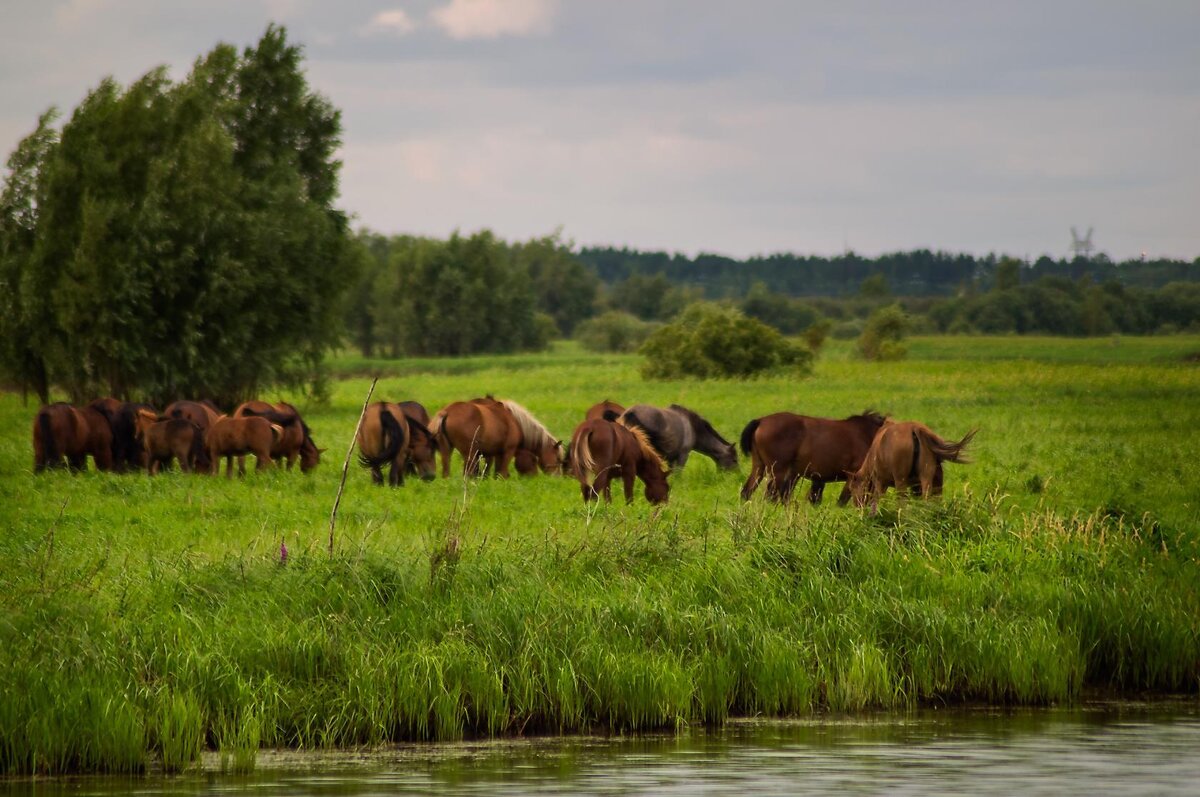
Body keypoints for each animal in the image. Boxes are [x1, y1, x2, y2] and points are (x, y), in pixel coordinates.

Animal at [739, 410, 892, 504]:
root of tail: (760, 421)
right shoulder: (855, 476)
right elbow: (845, 500)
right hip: (778, 471)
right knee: (771, 496)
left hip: (760, 467)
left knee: (747, 491)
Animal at [844, 417, 974, 511]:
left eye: (852, 488)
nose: (858, 507)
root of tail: (915, 429)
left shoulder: (880, 482)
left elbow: (877, 501)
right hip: (926, 476)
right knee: (927, 498)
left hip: (901, 481)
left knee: (902, 502)